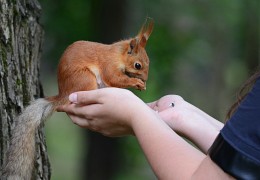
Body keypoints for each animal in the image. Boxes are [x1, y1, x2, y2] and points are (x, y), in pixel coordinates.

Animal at [1, 18, 153, 179]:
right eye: (138, 65)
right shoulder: (109, 64)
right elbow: (114, 78)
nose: (145, 79)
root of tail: (64, 93)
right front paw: (136, 82)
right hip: (85, 78)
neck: (118, 54)